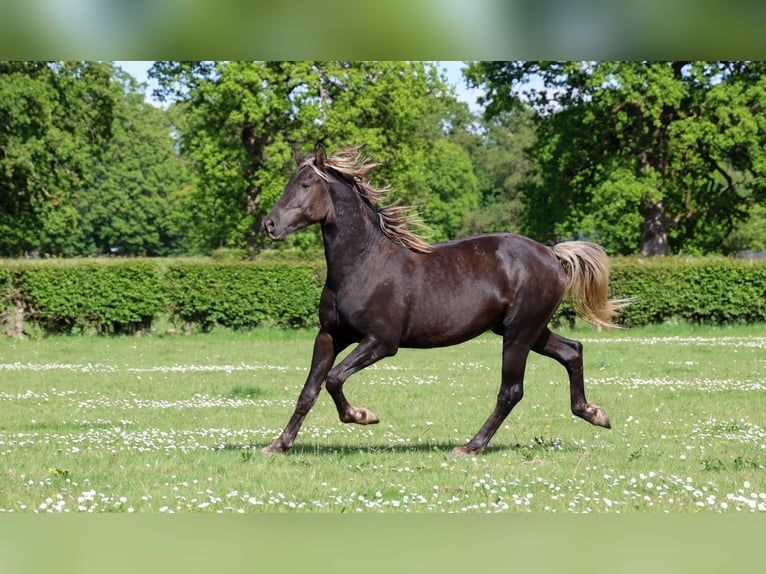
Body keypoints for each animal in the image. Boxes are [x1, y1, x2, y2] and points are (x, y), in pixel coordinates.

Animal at [262, 144, 626, 456]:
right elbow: (309, 390)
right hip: (528, 330)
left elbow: (334, 378)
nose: (269, 224)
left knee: (511, 390)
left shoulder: (381, 341)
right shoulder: (330, 336)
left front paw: (363, 415)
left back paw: (471, 446)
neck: (363, 264)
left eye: (306, 184)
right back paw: (594, 413)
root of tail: (551, 253)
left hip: (519, 334)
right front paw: (279, 445)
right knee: (571, 351)